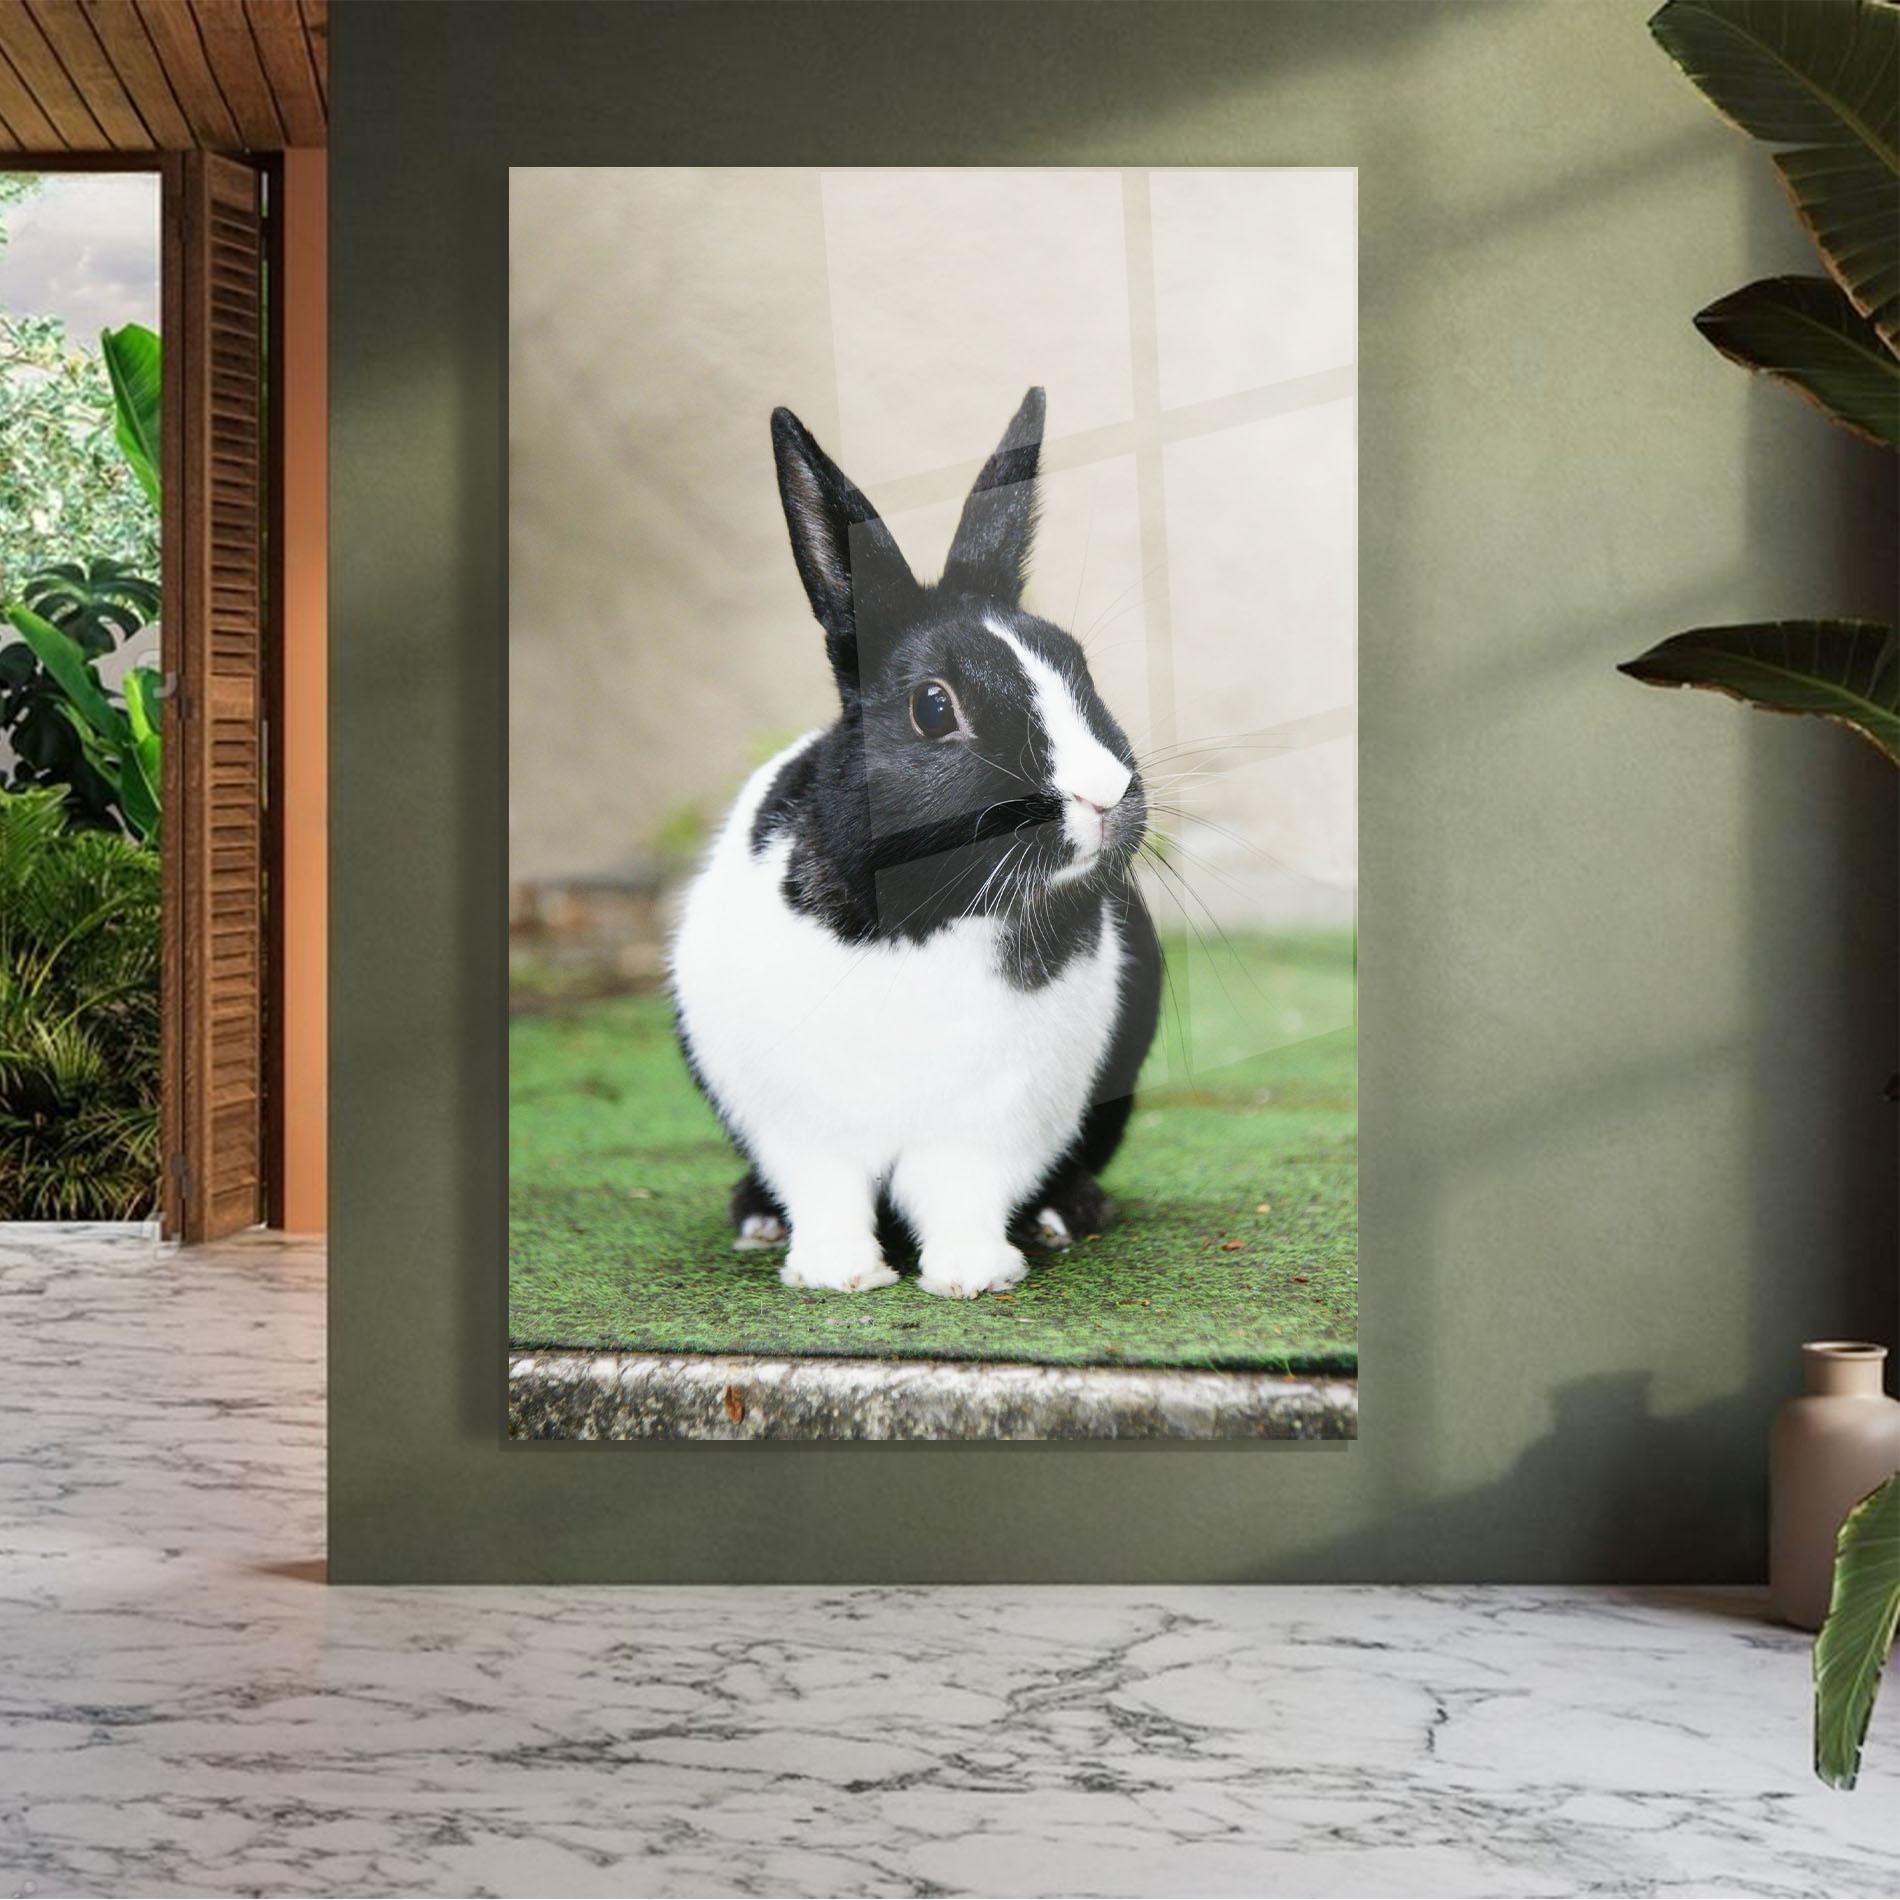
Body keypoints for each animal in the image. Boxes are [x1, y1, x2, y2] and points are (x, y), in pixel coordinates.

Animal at [669, 387, 1161, 1298]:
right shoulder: (801, 1126)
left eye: (1078, 666)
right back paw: (756, 1220)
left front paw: (972, 1275)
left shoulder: (992, 1125)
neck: (923, 916)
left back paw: (1065, 1215)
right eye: (934, 708)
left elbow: (962, 1194)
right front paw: (837, 1275)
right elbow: (827, 1194)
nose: (1106, 795)